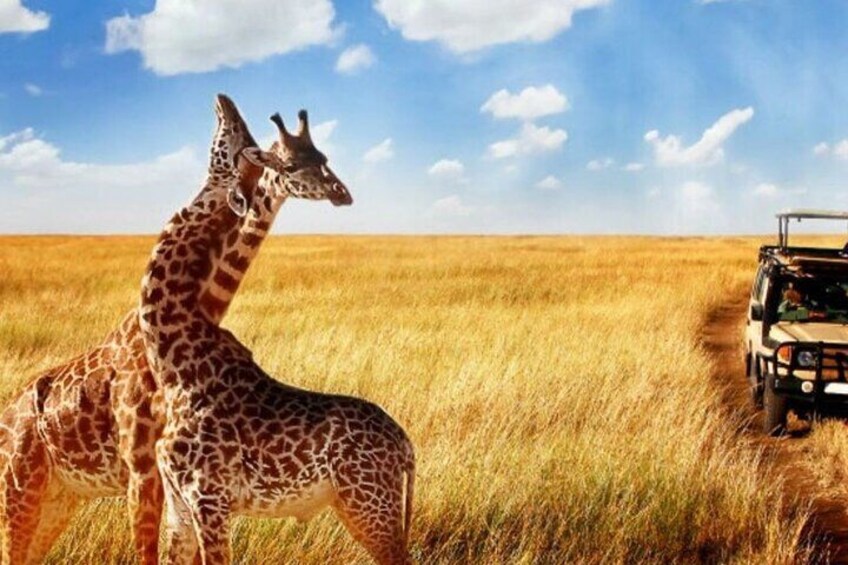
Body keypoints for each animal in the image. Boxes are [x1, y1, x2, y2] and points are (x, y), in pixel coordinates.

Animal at [0, 94, 346, 564]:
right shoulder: (143, 467)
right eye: (287, 161)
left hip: (58, 499)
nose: (340, 193)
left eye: (323, 157)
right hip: (19, 493)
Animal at [138, 109, 415, 565]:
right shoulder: (179, 502)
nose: (342, 193)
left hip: (369, 505)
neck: (174, 367)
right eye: (291, 164)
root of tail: (406, 446)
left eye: (322, 159)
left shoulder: (209, 498)